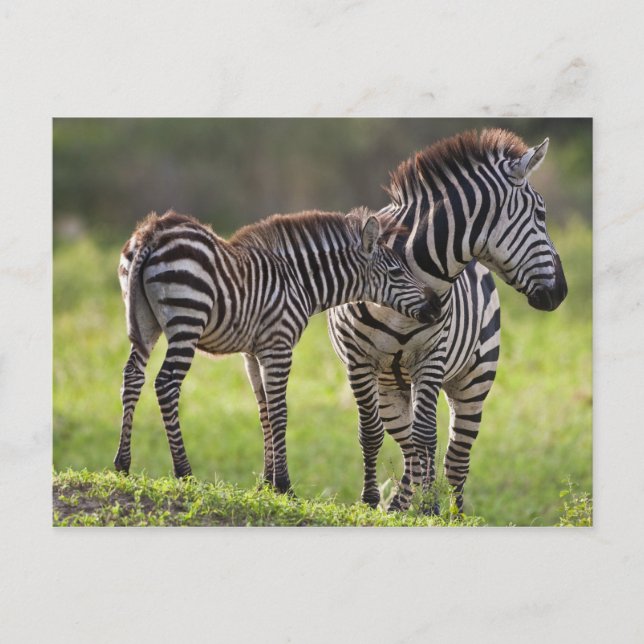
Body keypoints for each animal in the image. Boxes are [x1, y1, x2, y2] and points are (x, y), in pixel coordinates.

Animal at [114, 207, 441, 493]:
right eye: (397, 272)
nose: (436, 306)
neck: (298, 281)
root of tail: (152, 232)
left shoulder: (253, 352)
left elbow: (265, 412)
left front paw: (266, 483)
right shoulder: (279, 345)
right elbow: (280, 411)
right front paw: (284, 485)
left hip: (145, 321)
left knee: (132, 377)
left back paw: (122, 464)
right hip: (187, 321)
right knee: (166, 384)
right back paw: (184, 472)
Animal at [327, 129, 568, 513]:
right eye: (541, 215)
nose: (561, 292)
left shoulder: (431, 357)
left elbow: (428, 435)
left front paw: (429, 509)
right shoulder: (358, 360)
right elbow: (371, 433)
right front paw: (370, 502)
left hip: (473, 379)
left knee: (455, 456)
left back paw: (452, 513)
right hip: (390, 386)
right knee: (408, 445)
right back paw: (399, 507)